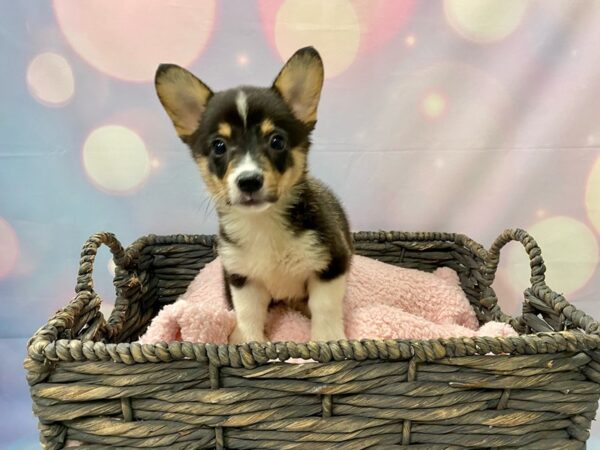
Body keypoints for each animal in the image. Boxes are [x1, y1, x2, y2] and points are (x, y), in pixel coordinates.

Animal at [155, 47, 352, 342]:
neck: (263, 223)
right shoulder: (242, 277)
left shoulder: (331, 264)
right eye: (219, 146)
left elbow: (324, 306)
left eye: (277, 141)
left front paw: (327, 340)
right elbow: (248, 312)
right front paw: (247, 341)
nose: (249, 181)